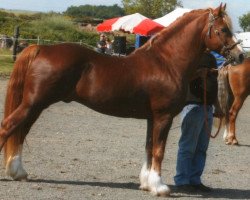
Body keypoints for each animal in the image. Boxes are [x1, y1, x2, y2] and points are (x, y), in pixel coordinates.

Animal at [0, 4, 244, 195]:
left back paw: (18, 172)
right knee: (8, 127)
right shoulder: (163, 117)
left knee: (21, 132)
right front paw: (159, 187)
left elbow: (149, 148)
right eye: (223, 29)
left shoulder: (152, 118)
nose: (240, 55)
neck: (166, 62)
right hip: (34, 104)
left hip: (35, 106)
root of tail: (41, 48)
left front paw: (146, 183)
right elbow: (159, 150)